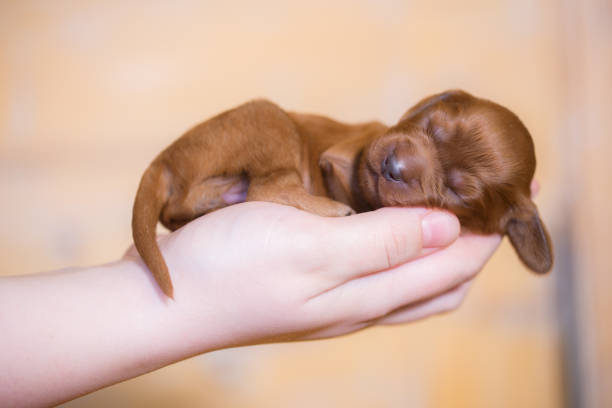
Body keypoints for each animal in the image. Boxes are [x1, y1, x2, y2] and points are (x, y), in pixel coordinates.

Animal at [134, 91, 556, 298]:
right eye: (430, 125)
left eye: (457, 189)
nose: (393, 165)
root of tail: (164, 160)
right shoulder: (341, 155)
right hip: (270, 119)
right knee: (266, 185)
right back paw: (330, 209)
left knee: (184, 207)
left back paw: (218, 199)